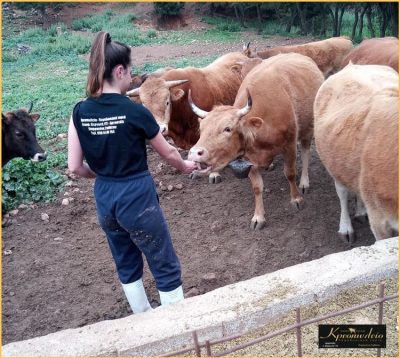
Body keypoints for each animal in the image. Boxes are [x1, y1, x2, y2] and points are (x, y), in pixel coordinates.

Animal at [188, 54, 324, 231]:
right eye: (201, 128)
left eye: (227, 128)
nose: (194, 153)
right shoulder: (249, 158)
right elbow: (257, 187)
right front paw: (258, 217)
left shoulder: (289, 145)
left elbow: (290, 173)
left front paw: (296, 199)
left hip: (308, 128)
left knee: (306, 151)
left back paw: (304, 183)